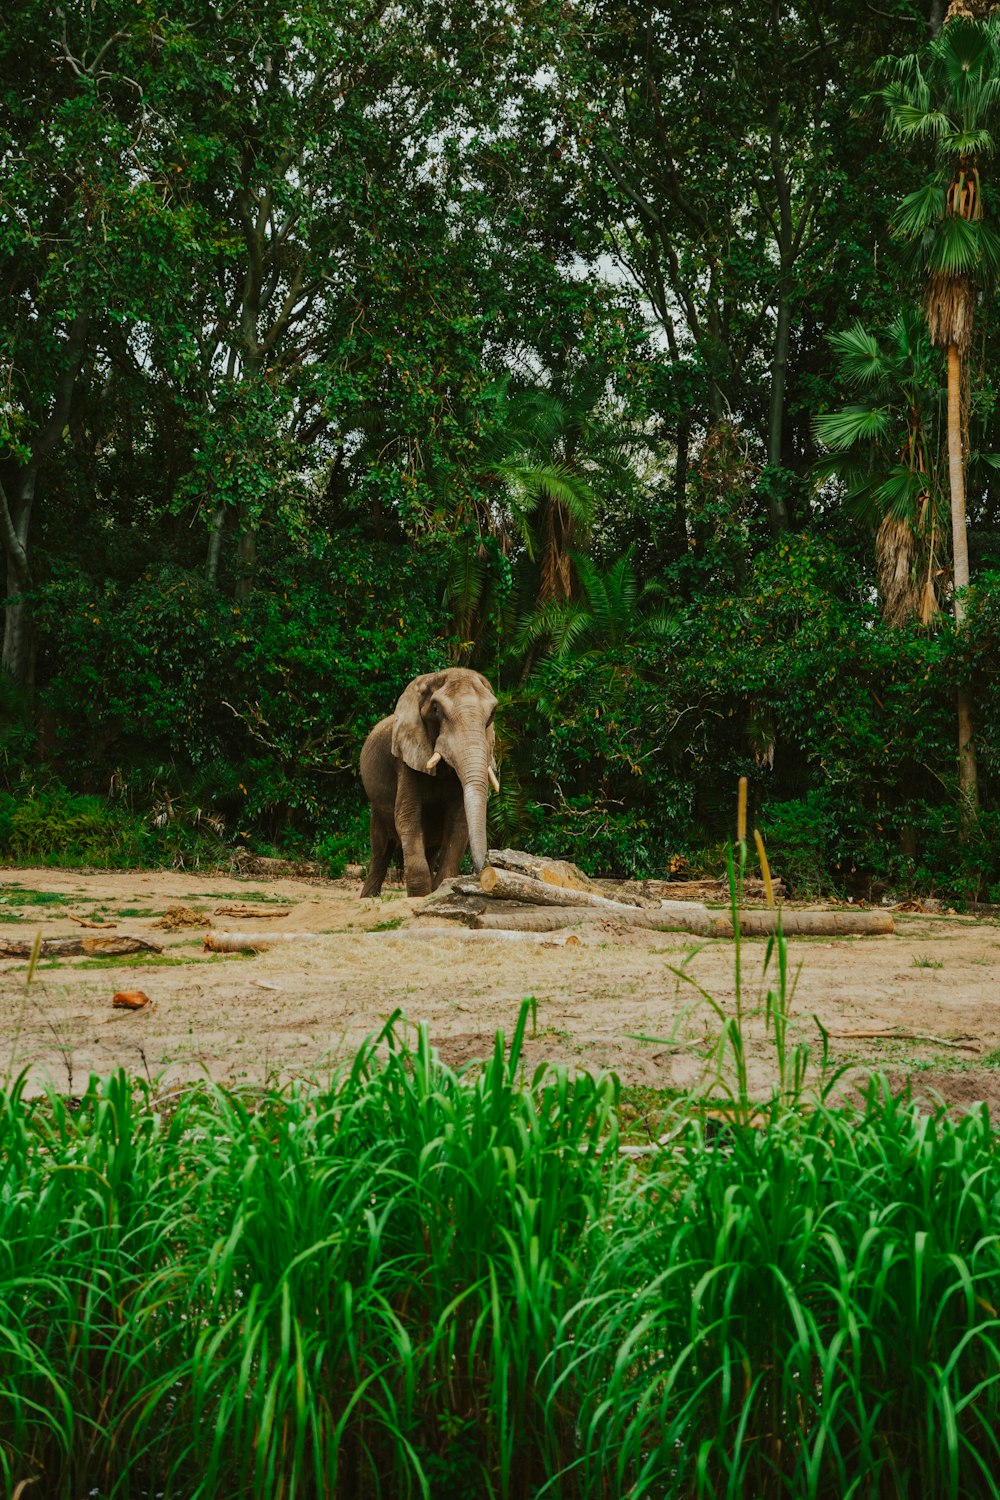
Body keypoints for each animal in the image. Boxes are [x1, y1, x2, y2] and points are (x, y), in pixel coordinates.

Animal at [359, 666, 500, 894]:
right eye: (435, 709)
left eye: (493, 713)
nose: (485, 874)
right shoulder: (405, 759)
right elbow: (407, 816)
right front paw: (420, 895)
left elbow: (458, 823)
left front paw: (441, 888)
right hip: (377, 809)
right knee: (380, 850)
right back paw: (368, 897)